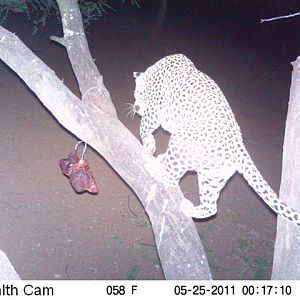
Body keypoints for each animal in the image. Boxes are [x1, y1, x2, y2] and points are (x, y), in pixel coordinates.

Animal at [128, 54, 300, 227]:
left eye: (137, 94)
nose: (136, 107)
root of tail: (239, 148)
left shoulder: (154, 110)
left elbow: (144, 127)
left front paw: (148, 144)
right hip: (212, 177)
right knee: (211, 207)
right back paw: (188, 206)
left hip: (181, 142)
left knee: (172, 178)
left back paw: (155, 168)